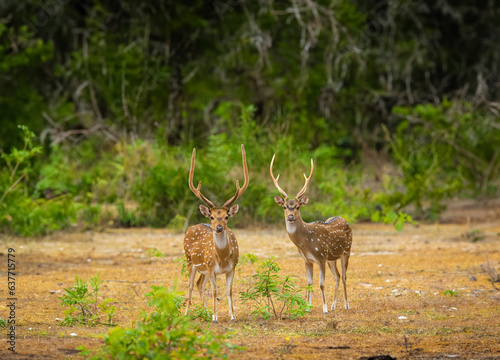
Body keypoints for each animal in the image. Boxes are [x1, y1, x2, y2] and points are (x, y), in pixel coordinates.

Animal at [184, 143, 248, 324]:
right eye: (212, 216)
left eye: (226, 216)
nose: (219, 227)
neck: (222, 258)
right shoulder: (211, 267)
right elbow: (214, 291)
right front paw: (215, 317)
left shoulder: (232, 267)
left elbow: (229, 291)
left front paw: (232, 316)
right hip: (190, 261)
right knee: (190, 285)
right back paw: (187, 313)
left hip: (203, 269)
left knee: (199, 284)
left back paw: (205, 312)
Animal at [270, 156, 352, 314]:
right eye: (284, 207)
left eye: (297, 207)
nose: (290, 216)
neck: (306, 243)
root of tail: (344, 219)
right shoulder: (307, 260)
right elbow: (309, 282)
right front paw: (308, 307)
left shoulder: (321, 257)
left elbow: (321, 283)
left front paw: (324, 309)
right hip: (332, 258)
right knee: (338, 276)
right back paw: (334, 306)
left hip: (346, 251)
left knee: (345, 276)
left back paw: (346, 305)